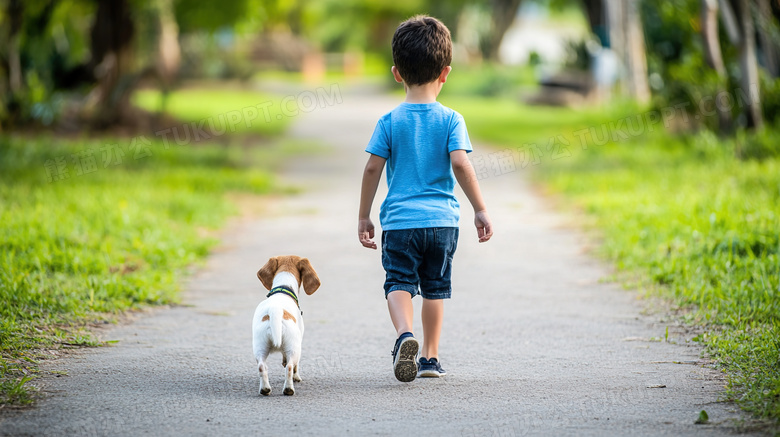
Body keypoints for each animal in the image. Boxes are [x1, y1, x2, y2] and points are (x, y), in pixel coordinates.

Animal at [253, 255, 320, 396]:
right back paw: (289, 389)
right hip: (295, 348)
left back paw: (265, 389)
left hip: (259, 347)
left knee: (262, 367)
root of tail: (276, 309)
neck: (283, 288)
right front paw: (296, 377)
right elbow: (295, 366)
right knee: (289, 367)